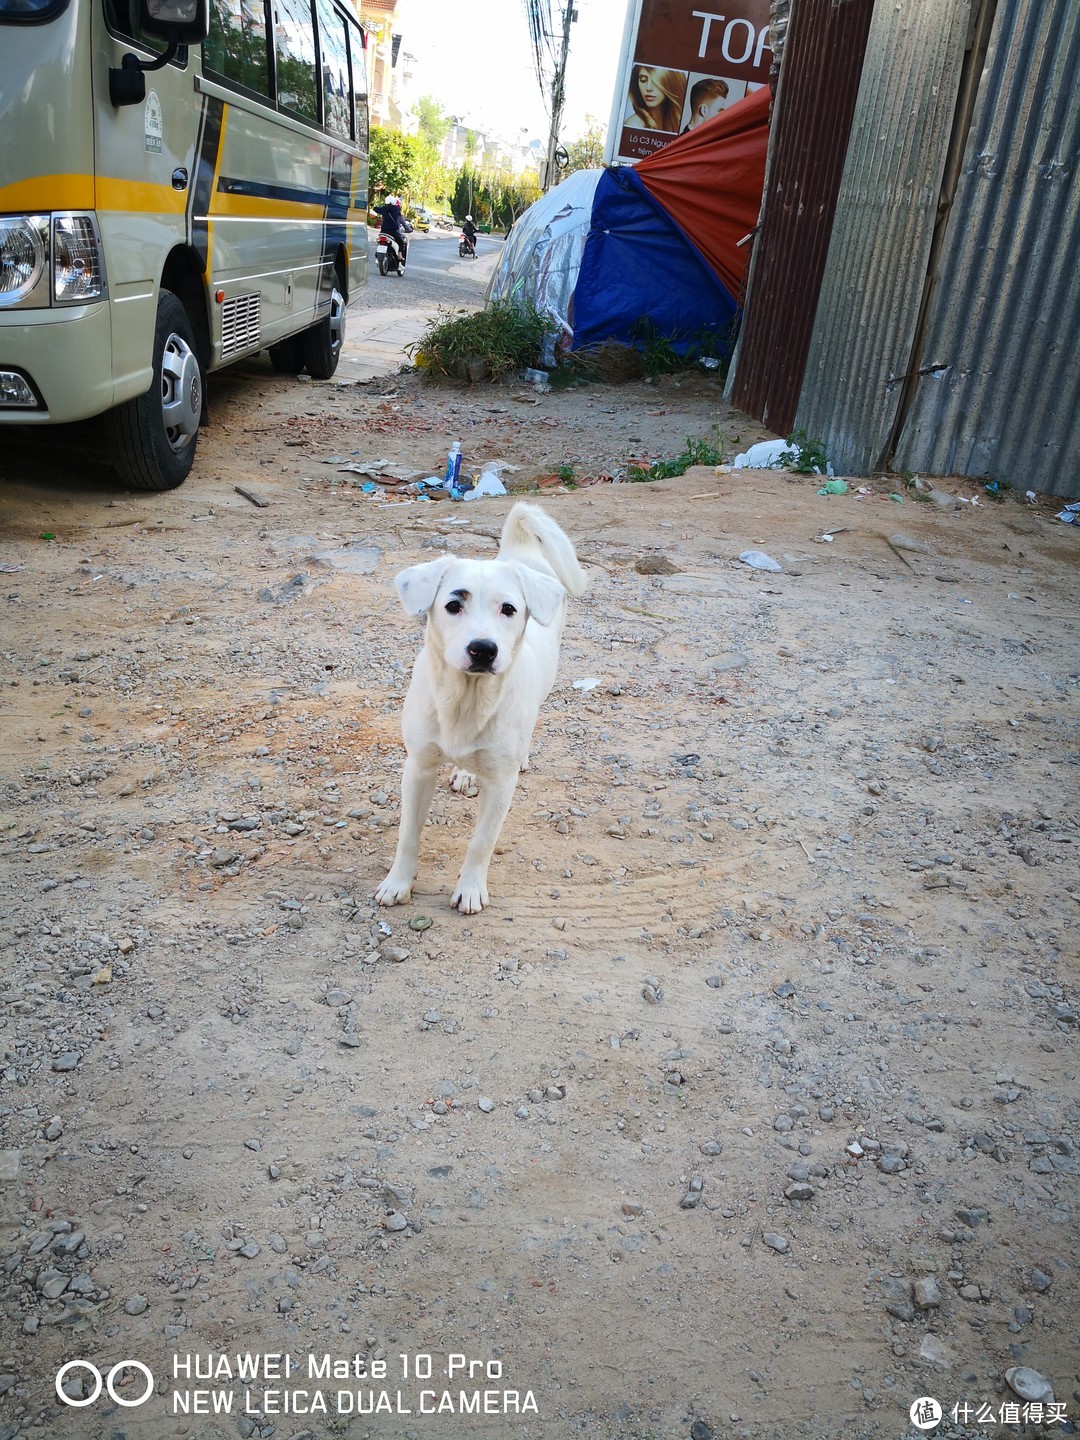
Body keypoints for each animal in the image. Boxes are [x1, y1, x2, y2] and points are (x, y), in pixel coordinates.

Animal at [377, 501, 587, 915]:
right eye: (453, 605)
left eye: (509, 609)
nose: (483, 649)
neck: (465, 700)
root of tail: (520, 553)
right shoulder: (418, 768)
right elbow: (408, 834)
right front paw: (398, 883)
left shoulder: (502, 785)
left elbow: (481, 842)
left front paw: (470, 889)